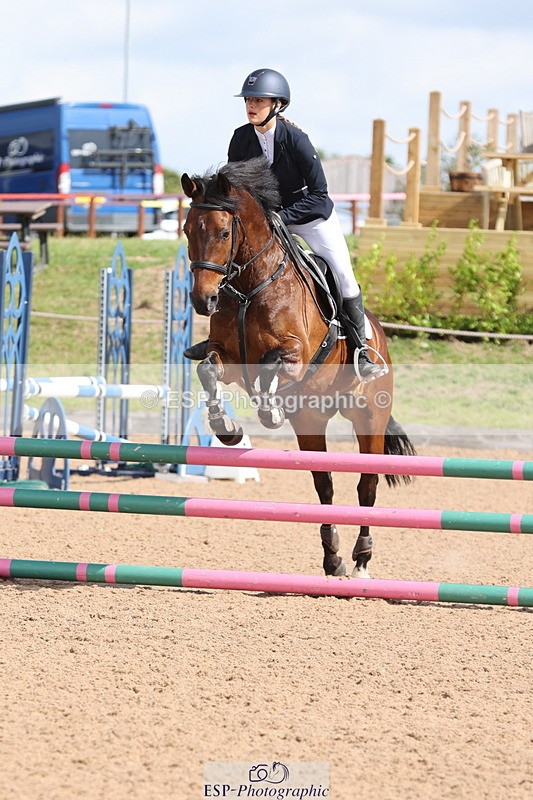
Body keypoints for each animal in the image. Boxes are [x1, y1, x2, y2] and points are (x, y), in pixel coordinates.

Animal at [181, 157, 415, 579]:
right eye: (188, 229)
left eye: (224, 232)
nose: (203, 300)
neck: (249, 287)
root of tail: (381, 339)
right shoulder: (228, 359)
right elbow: (208, 370)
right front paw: (227, 429)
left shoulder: (296, 353)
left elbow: (272, 365)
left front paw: (269, 411)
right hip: (311, 421)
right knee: (324, 484)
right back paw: (333, 558)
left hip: (369, 416)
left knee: (367, 485)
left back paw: (361, 559)